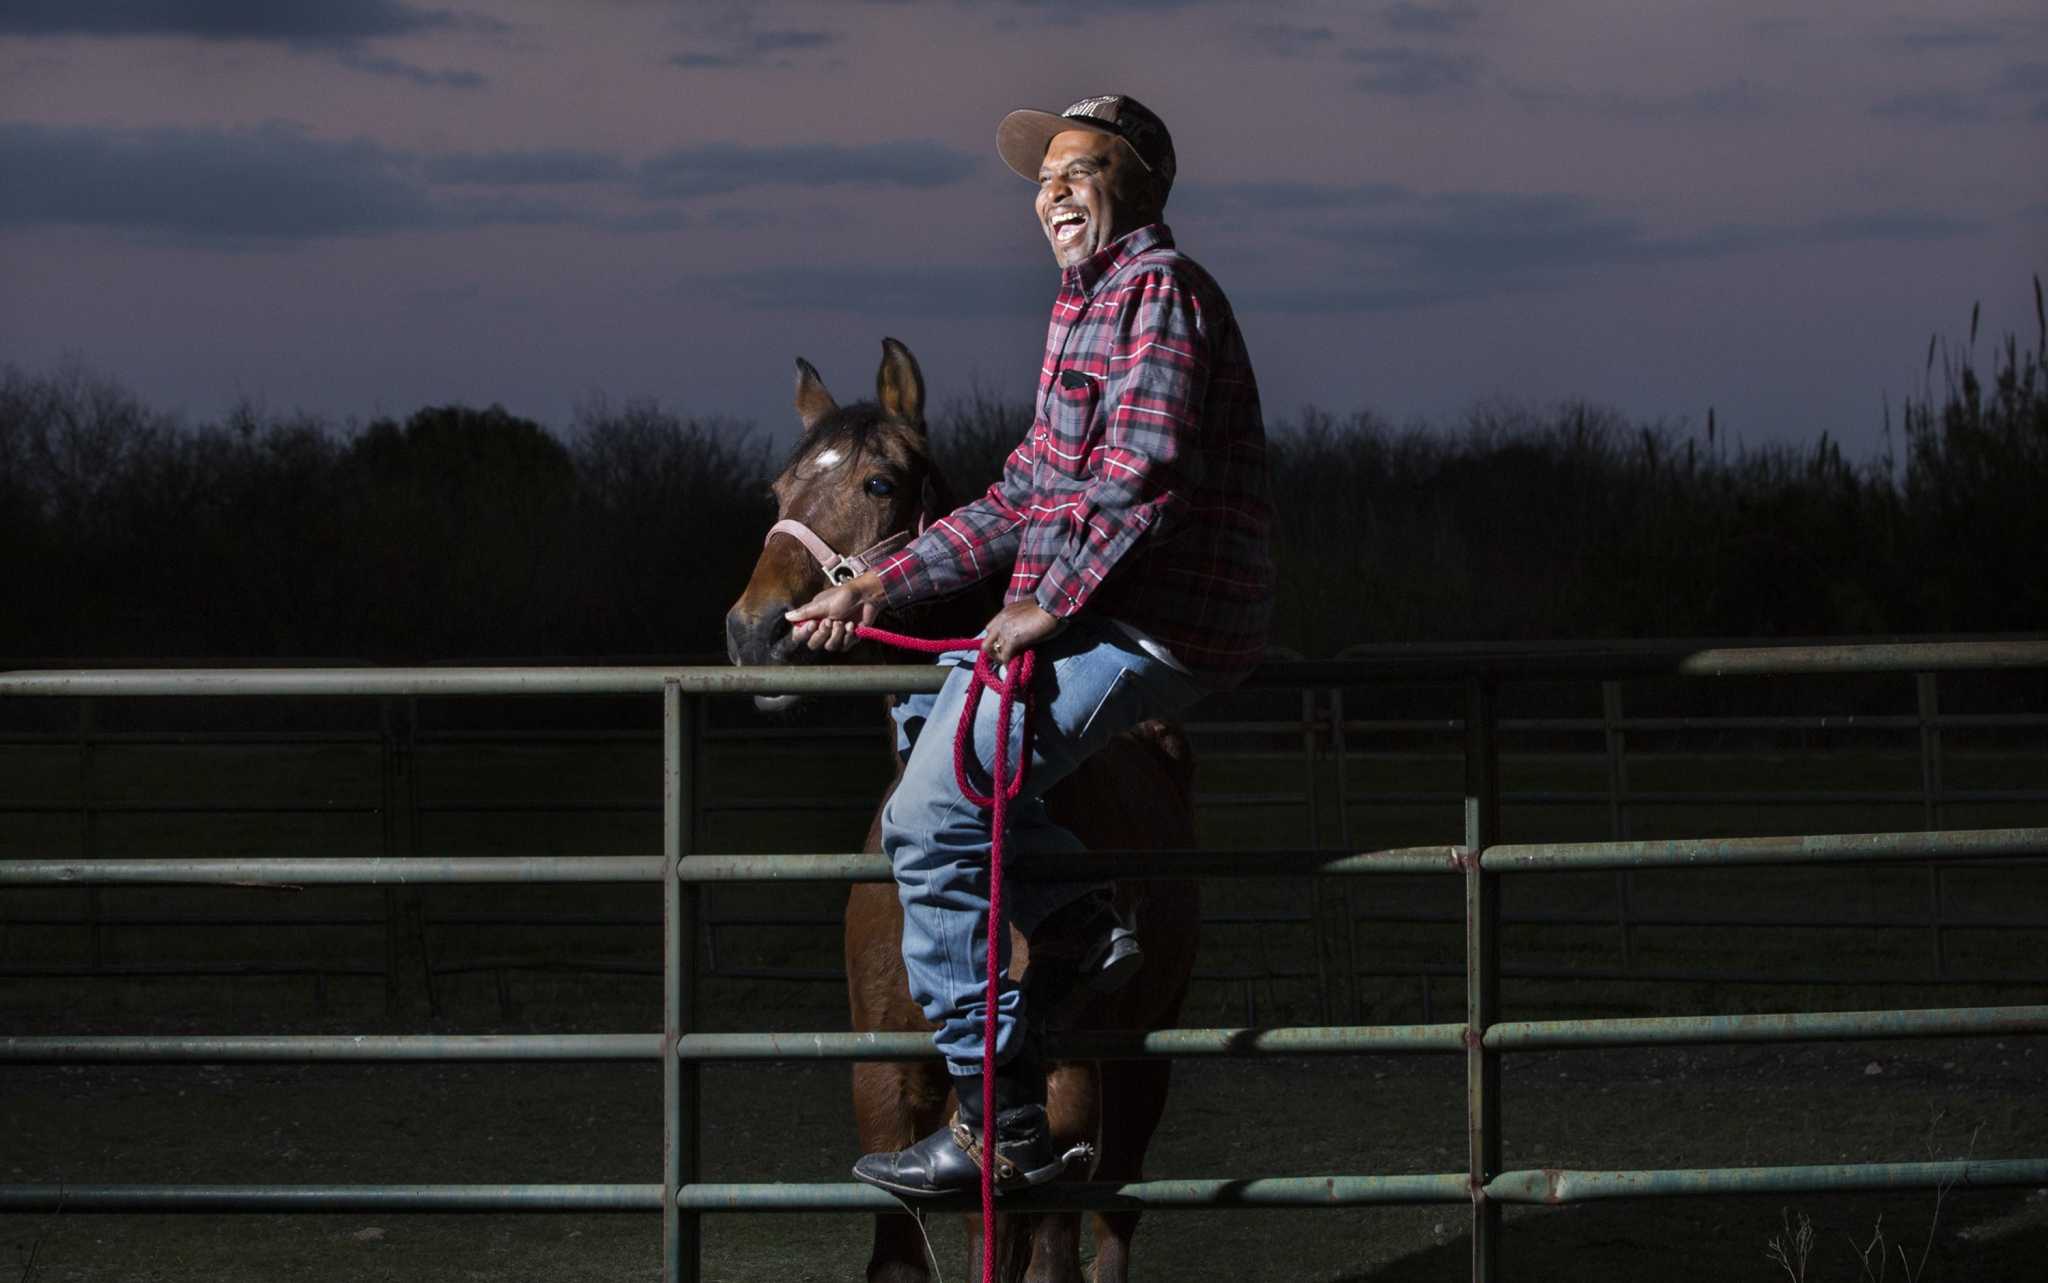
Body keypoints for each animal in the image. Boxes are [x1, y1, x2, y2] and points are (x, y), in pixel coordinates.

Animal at [729, 334, 1196, 1270]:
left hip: (1140, 1069)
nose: (757, 630)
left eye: (879, 484)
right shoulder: (885, 1083)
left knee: (1109, 1229)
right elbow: (898, 1250)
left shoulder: (1062, 1105)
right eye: (778, 490)